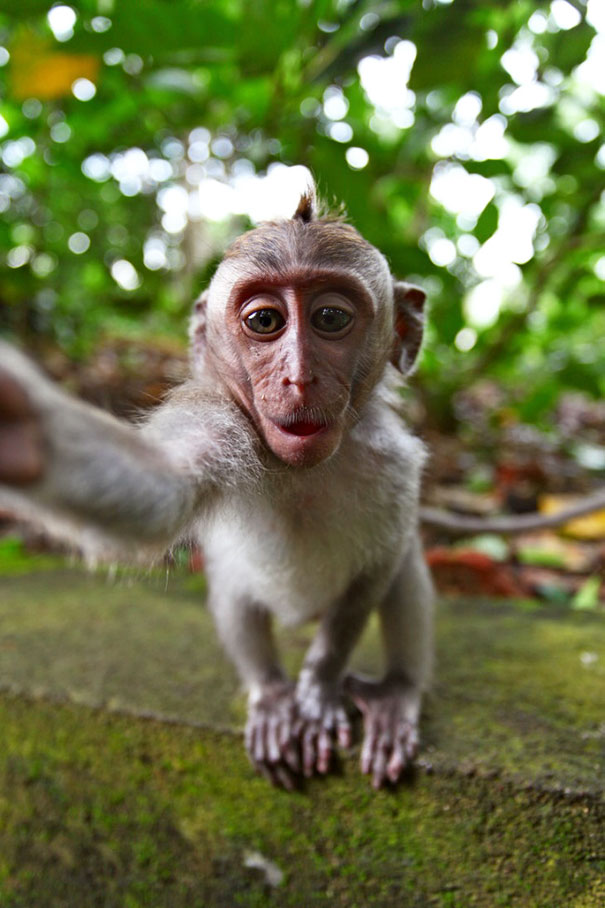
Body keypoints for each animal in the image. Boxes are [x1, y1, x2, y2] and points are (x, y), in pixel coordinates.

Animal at [0, 187, 434, 790]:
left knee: (403, 570)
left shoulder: (394, 464)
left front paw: (321, 684)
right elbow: (162, 491)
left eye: (330, 317)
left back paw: (395, 694)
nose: (299, 378)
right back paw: (271, 692)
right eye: (265, 320)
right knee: (234, 588)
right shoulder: (219, 422)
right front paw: (26, 430)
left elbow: (381, 564)